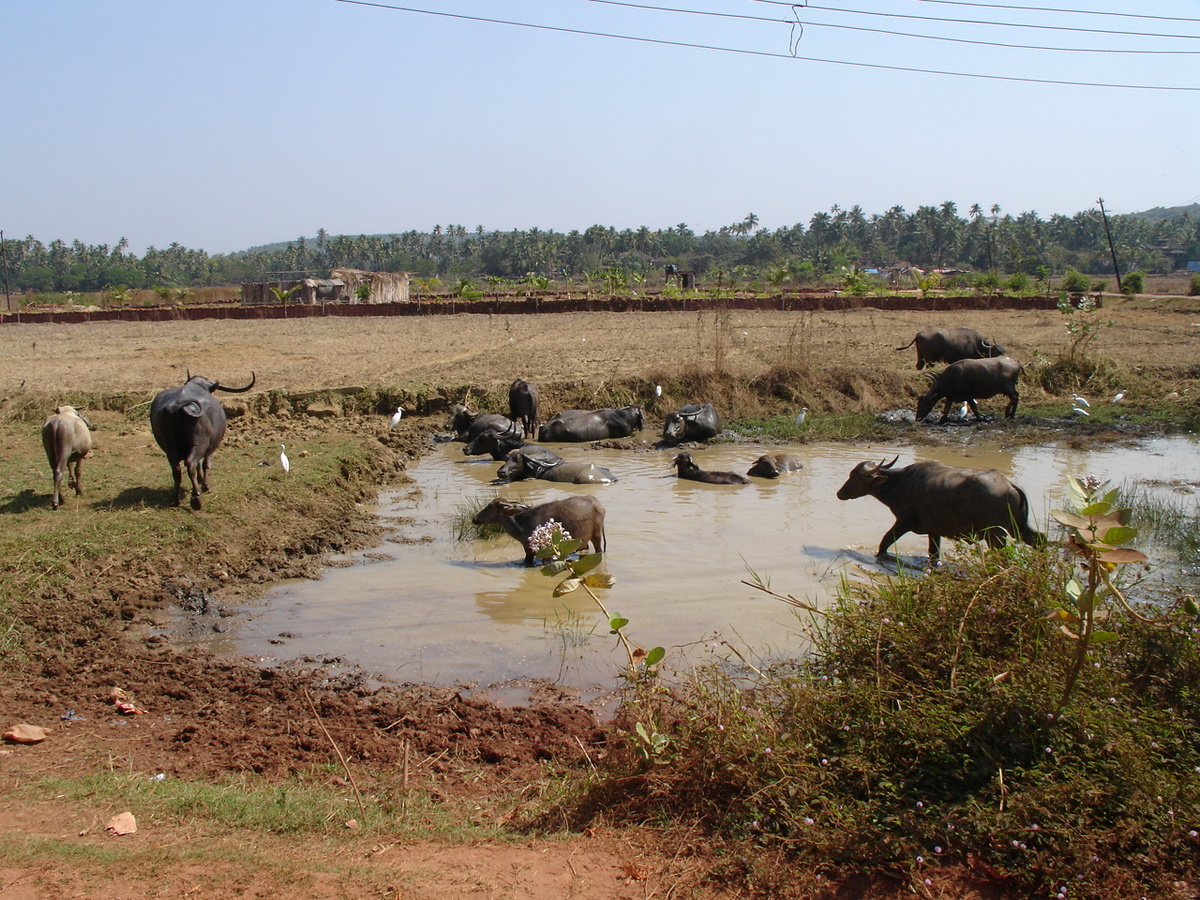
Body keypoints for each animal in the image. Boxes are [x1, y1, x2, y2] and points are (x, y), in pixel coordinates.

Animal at [150, 372, 255, 511]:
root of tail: (181, 405)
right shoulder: (211, 448)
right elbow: (206, 464)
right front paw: (205, 486)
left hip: (170, 447)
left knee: (177, 469)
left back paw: (176, 499)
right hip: (200, 443)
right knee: (191, 463)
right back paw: (196, 498)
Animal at [472, 496, 609, 566]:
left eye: (490, 506)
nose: (474, 519)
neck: (522, 524)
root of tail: (599, 504)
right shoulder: (529, 550)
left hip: (596, 535)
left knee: (599, 550)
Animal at [835, 458, 1041, 564]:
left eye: (853, 476)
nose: (840, 493)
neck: (899, 483)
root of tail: (1010, 485)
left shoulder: (903, 522)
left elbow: (885, 541)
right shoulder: (934, 531)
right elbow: (933, 554)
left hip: (995, 533)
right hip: (1018, 527)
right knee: (1039, 540)